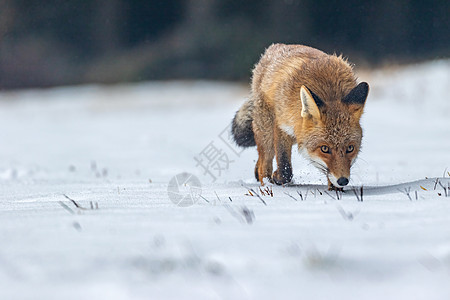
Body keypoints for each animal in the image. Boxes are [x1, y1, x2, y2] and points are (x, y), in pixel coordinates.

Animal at [232, 42, 370, 190]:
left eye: (350, 148)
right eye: (325, 149)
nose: (343, 180)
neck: (330, 93)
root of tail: (275, 47)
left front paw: (335, 190)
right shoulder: (282, 125)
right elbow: (285, 167)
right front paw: (278, 178)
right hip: (267, 132)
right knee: (263, 165)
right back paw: (267, 185)